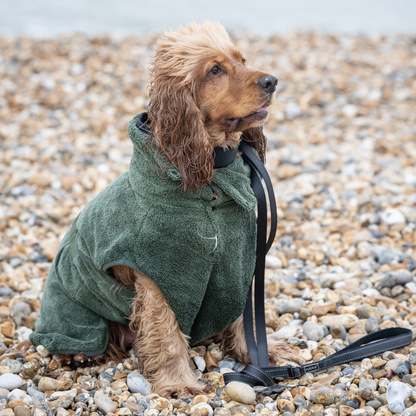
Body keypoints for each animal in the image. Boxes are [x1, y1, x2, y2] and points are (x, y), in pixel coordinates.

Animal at [31, 22, 300, 400]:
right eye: (214, 70)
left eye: (242, 60)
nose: (271, 81)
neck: (210, 177)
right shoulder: (159, 275)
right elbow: (166, 335)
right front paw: (178, 383)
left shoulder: (238, 261)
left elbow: (245, 319)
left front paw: (263, 355)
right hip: (75, 310)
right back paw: (82, 355)